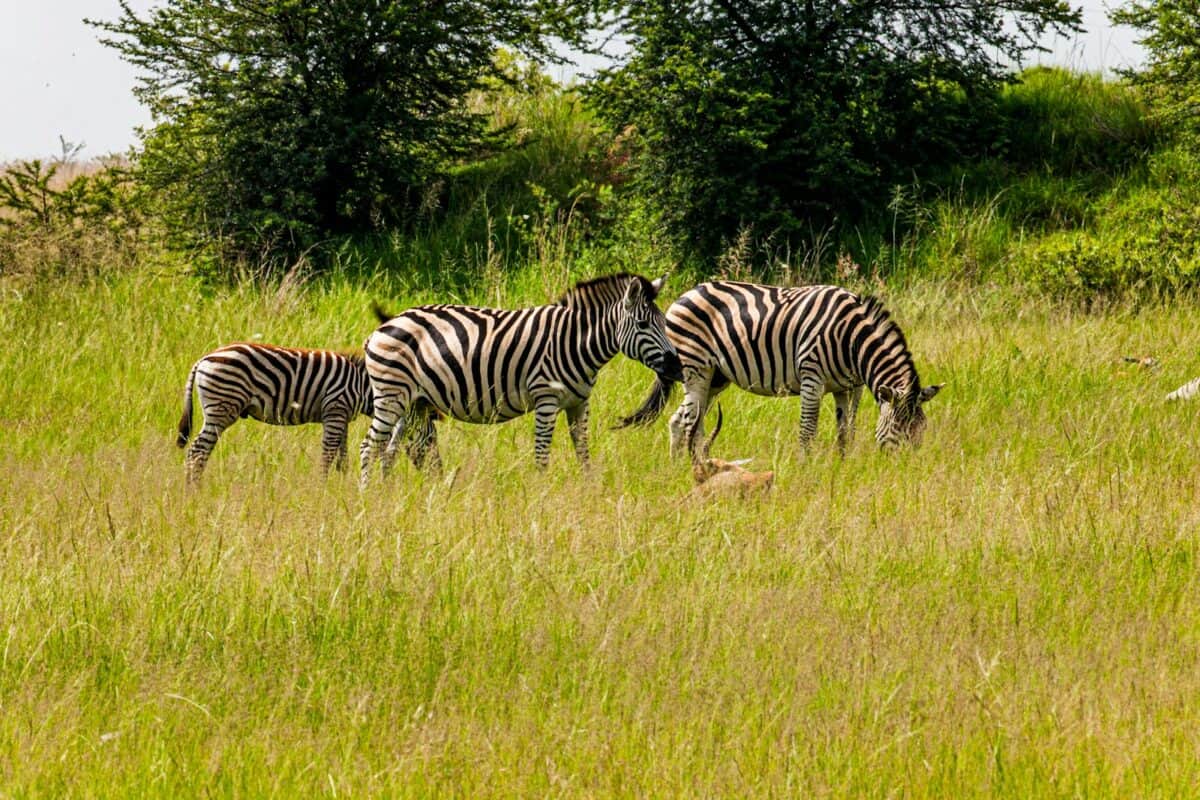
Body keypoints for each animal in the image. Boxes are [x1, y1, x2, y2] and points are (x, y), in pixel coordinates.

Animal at [177, 343, 374, 484]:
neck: (362, 384)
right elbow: (329, 453)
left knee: (198, 452)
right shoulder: (335, 409)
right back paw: (194, 492)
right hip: (222, 408)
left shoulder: (343, 416)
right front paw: (322, 488)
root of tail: (204, 358)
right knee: (197, 451)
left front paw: (341, 486)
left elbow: (343, 457)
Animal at [360, 273, 683, 481]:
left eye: (664, 322)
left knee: (389, 450)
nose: (677, 367)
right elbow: (541, 455)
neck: (573, 341)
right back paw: (369, 498)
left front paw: (588, 489)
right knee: (369, 446)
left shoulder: (579, 402)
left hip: (411, 402)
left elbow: (583, 452)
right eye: (643, 324)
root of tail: (384, 326)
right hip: (390, 395)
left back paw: (386, 495)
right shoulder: (546, 399)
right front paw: (540, 496)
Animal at [618, 280, 942, 456]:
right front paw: (806, 470)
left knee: (680, 421)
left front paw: (843, 465)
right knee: (687, 422)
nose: (907, 467)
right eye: (898, 428)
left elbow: (845, 430)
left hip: (715, 378)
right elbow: (807, 430)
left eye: (923, 429)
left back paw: (682, 467)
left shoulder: (850, 387)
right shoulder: (812, 378)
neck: (852, 340)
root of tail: (684, 295)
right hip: (695, 369)